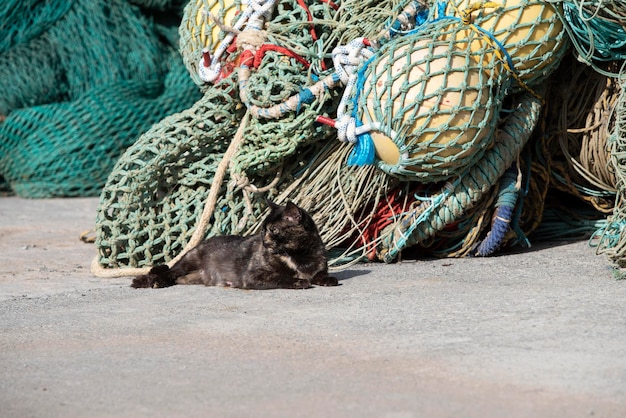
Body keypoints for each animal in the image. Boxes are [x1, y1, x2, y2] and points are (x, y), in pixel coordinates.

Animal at [130, 201, 336, 290]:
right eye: (263, 230)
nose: (263, 240)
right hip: (189, 259)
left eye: (274, 230)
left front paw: (326, 279)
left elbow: (320, 274)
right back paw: (149, 281)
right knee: (169, 272)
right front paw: (299, 282)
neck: (297, 255)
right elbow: (280, 277)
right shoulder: (252, 276)